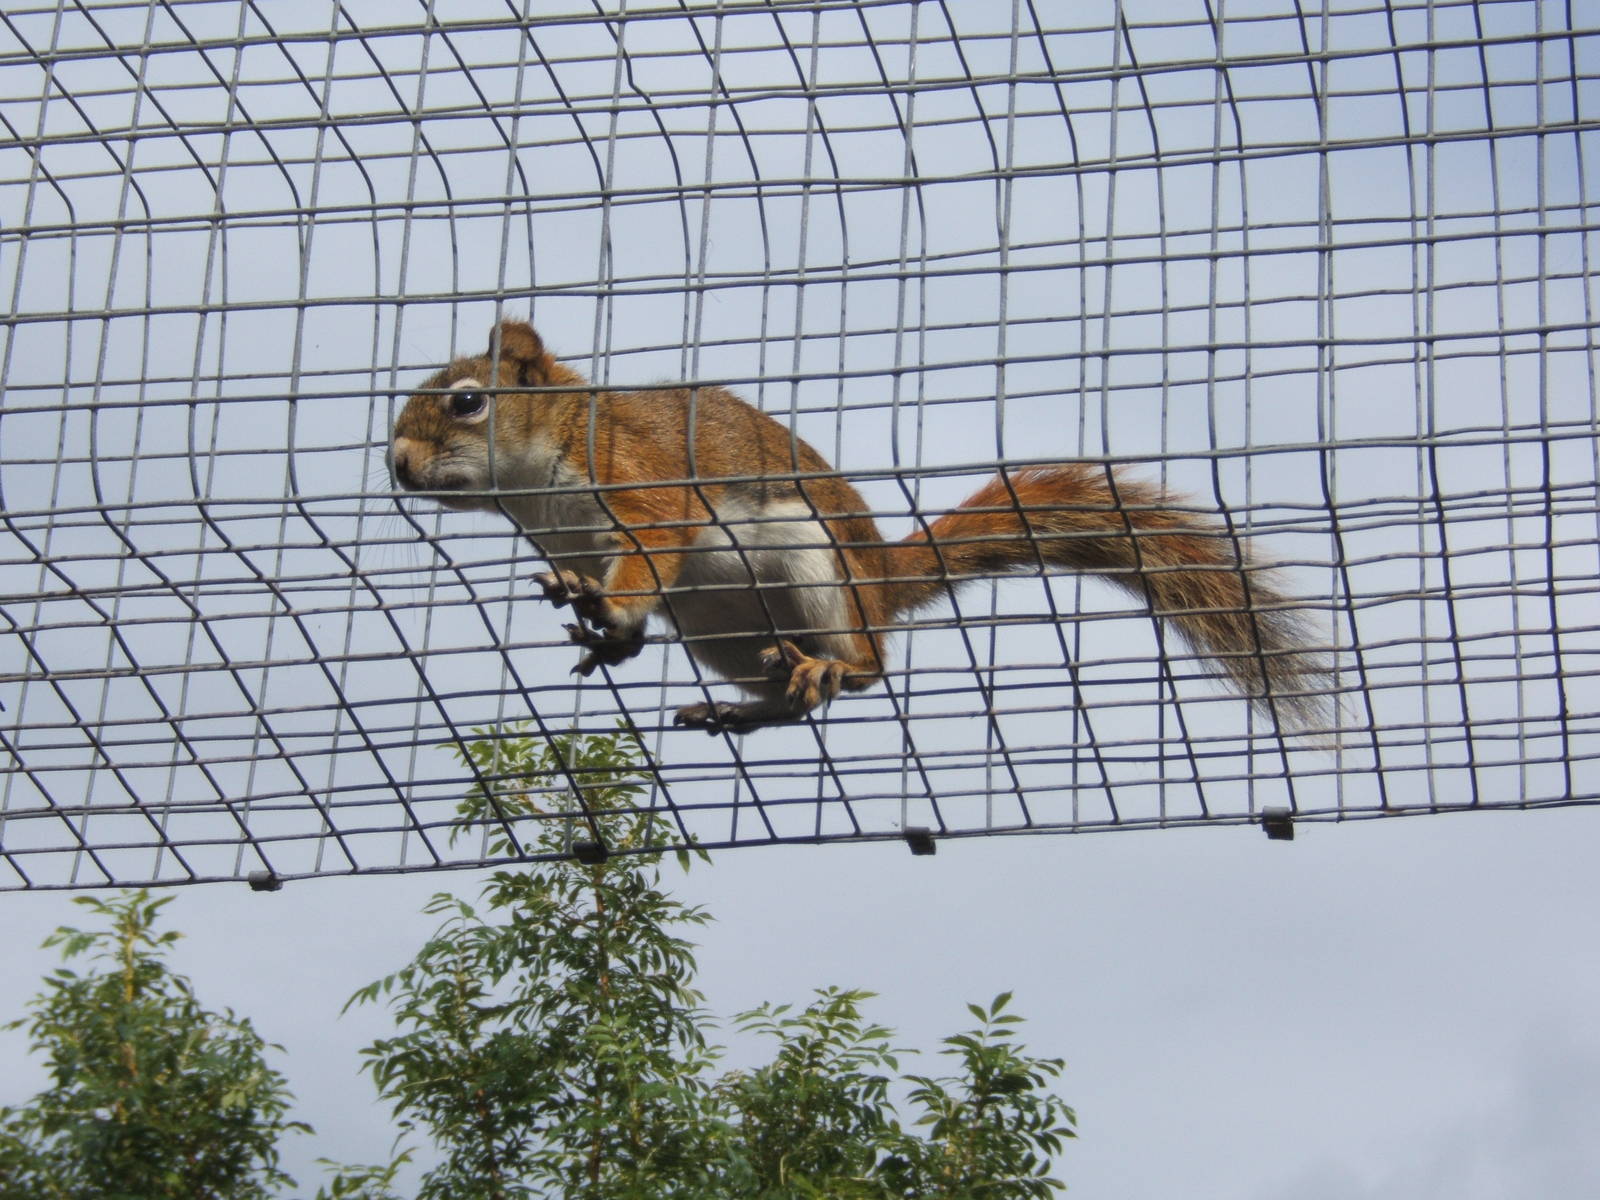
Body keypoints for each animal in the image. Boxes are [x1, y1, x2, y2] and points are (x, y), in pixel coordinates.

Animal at [390, 319, 1328, 734]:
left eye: (468, 403)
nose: (395, 466)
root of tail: (882, 581)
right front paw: (605, 631)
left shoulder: (649, 489)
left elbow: (652, 550)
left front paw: (613, 612)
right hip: (719, 632)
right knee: (782, 691)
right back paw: (751, 708)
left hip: (817, 568)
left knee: (872, 667)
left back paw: (833, 670)